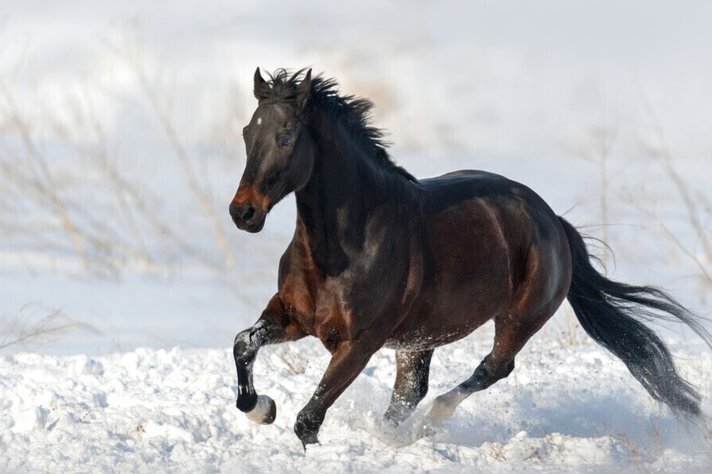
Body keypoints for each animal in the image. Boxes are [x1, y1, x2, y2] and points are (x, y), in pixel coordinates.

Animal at [229, 67, 712, 449]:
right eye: (247, 133)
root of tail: (552, 221)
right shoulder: (292, 316)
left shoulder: (359, 343)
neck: (342, 250)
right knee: (410, 393)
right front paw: (263, 408)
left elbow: (309, 419)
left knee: (490, 369)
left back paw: (431, 423)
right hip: (417, 340)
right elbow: (244, 343)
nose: (242, 212)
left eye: (286, 137)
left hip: (518, 320)